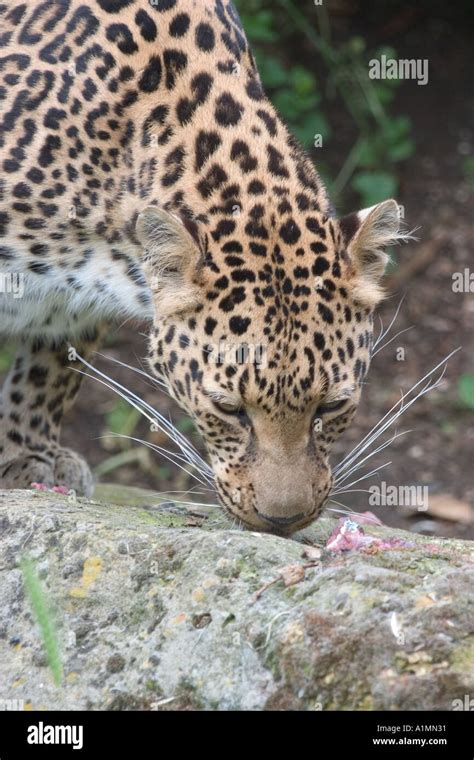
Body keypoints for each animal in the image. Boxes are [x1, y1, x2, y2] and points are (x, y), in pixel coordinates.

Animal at [0, 0, 406, 536]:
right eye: (228, 410)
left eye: (333, 406)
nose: (283, 521)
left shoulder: (73, 305)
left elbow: (49, 371)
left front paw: (27, 451)